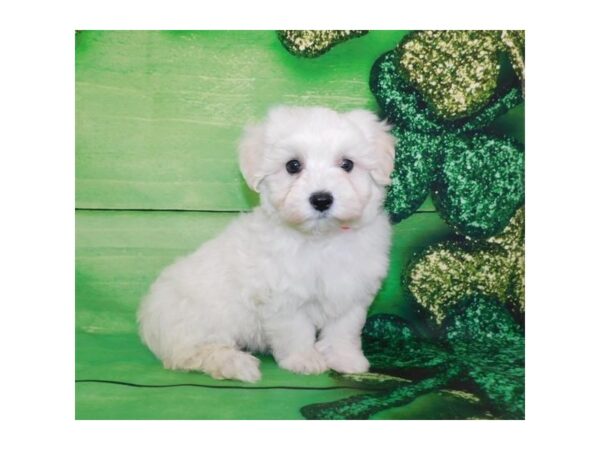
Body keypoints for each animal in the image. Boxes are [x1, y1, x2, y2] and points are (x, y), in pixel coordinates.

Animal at [138, 106, 396, 384]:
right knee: (192, 354)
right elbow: (295, 330)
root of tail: (147, 318)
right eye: (293, 166)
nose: (321, 199)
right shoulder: (282, 298)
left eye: (347, 164)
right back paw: (236, 363)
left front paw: (344, 358)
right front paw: (303, 360)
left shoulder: (352, 291)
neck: (321, 239)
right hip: (198, 321)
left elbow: (344, 329)